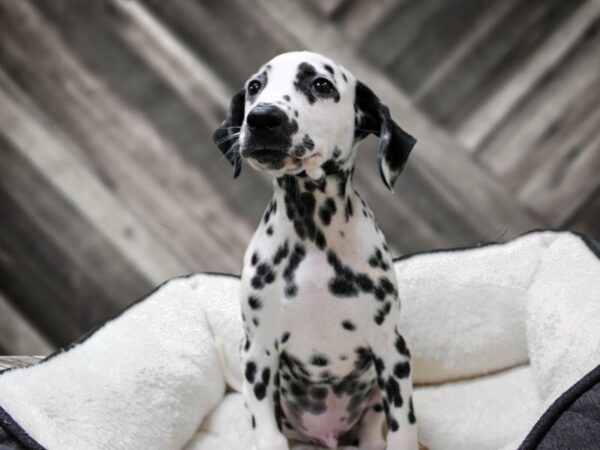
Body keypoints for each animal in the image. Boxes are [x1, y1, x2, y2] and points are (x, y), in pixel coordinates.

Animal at [214, 51, 418, 450]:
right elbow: (268, 434)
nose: (262, 118)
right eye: (255, 86)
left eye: (321, 84)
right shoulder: (258, 355)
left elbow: (403, 428)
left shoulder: (391, 350)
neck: (314, 236)